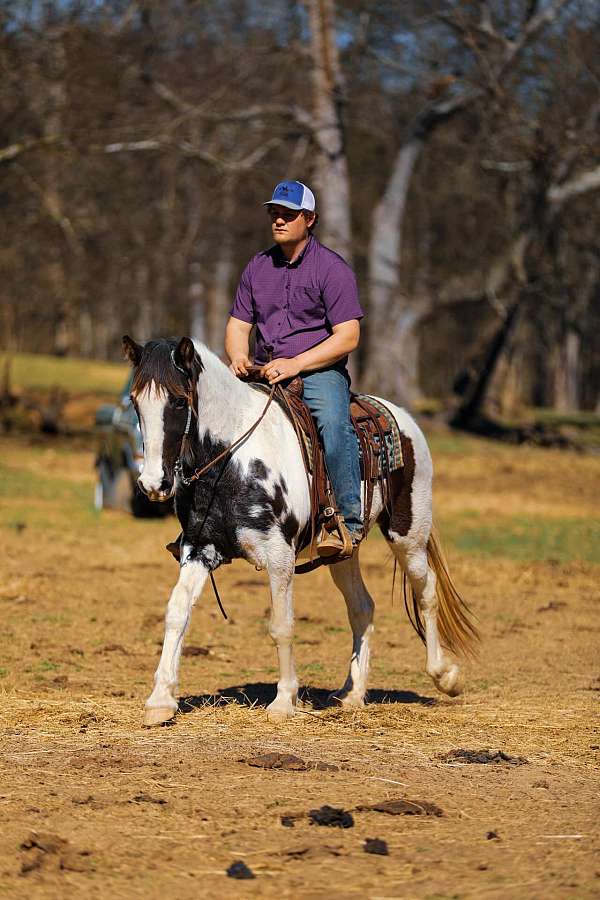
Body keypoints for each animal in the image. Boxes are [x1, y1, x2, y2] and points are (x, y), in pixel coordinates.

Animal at [123, 334, 478, 728]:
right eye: (135, 401)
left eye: (179, 400)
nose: (153, 483)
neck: (232, 460)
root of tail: (402, 417)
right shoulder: (199, 549)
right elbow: (177, 611)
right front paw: (160, 700)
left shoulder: (279, 556)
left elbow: (282, 624)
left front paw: (283, 701)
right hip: (343, 552)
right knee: (362, 606)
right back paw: (352, 693)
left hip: (409, 534)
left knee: (426, 590)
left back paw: (446, 676)